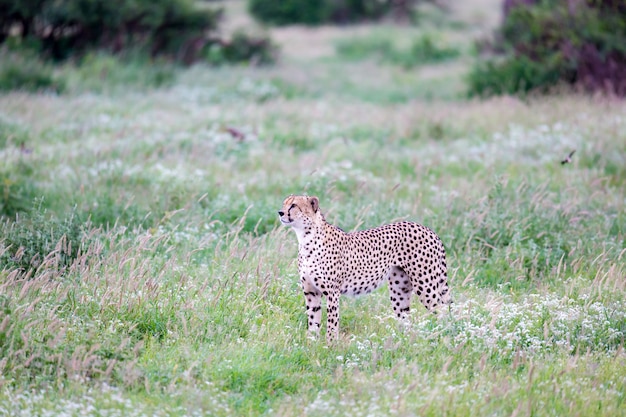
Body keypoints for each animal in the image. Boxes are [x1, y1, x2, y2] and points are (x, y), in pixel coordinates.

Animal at [276, 195, 448, 342]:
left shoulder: (332, 293)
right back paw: (403, 343)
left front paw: (330, 345)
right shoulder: (311, 291)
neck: (306, 237)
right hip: (400, 289)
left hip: (426, 285)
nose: (280, 212)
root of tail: (428, 229)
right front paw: (311, 344)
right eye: (284, 203)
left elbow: (332, 322)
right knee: (406, 319)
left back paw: (444, 339)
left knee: (444, 311)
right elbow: (313, 320)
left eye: (294, 205)